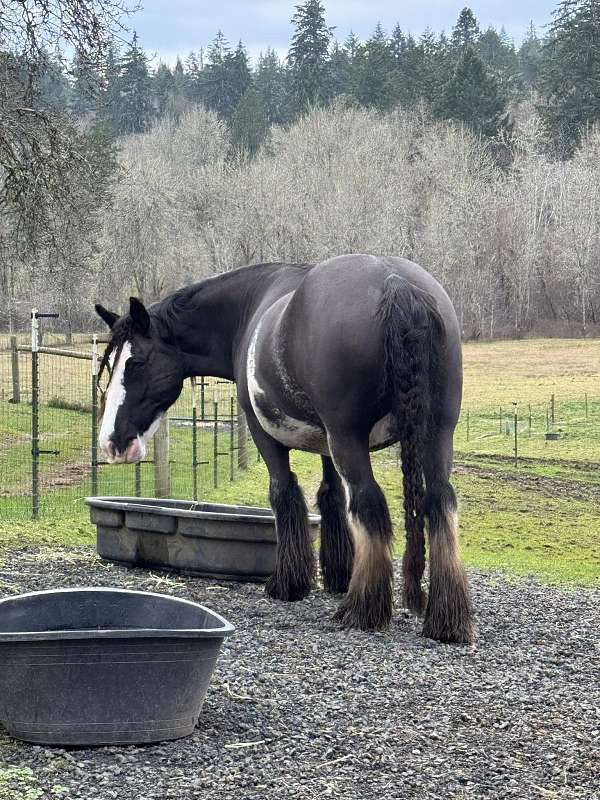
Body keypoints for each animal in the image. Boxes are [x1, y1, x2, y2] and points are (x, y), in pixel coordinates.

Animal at [95, 254, 474, 643]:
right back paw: (446, 618)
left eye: (135, 363)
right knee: (439, 501)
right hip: (436, 433)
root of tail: (395, 283)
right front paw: (338, 574)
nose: (112, 442)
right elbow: (330, 496)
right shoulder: (326, 443)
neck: (251, 307)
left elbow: (284, 494)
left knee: (369, 503)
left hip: (349, 438)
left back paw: (362, 609)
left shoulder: (266, 434)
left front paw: (288, 583)